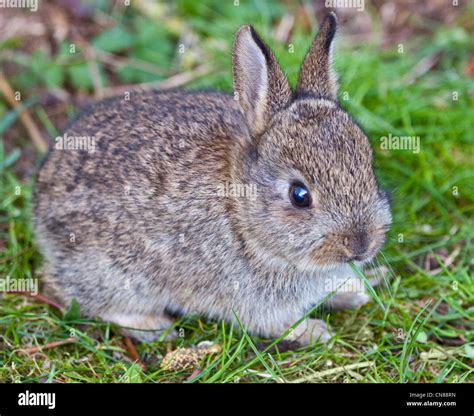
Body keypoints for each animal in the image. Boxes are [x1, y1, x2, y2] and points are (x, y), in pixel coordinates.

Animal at [33, 12, 390, 344]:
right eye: (299, 195)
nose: (361, 245)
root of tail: (40, 201)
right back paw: (154, 325)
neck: (242, 213)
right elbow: (275, 324)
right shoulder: (251, 299)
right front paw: (315, 331)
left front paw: (360, 285)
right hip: (117, 274)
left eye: (368, 165)